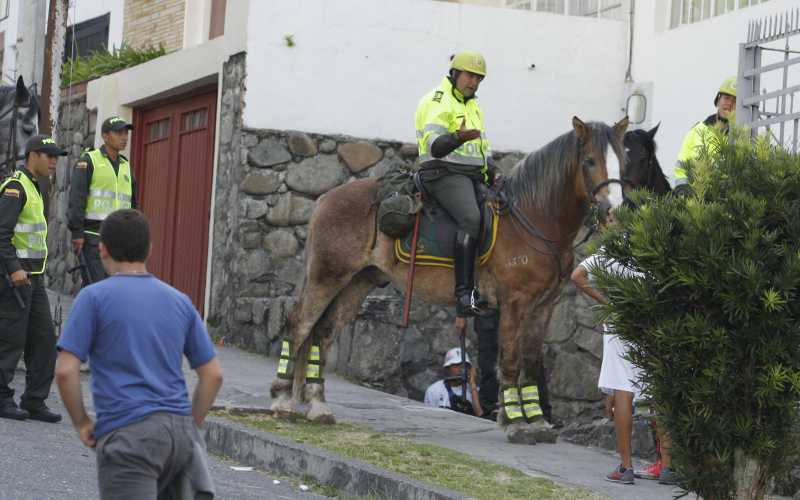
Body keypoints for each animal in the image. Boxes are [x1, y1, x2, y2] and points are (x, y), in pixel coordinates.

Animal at [272, 116, 628, 442]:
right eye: (589, 160)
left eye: (622, 161)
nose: (614, 211)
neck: (533, 219)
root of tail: (326, 197)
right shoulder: (515, 303)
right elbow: (511, 361)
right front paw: (515, 422)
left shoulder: (544, 306)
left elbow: (530, 361)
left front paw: (537, 421)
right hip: (327, 276)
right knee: (299, 325)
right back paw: (282, 400)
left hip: (357, 282)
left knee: (323, 333)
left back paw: (317, 406)